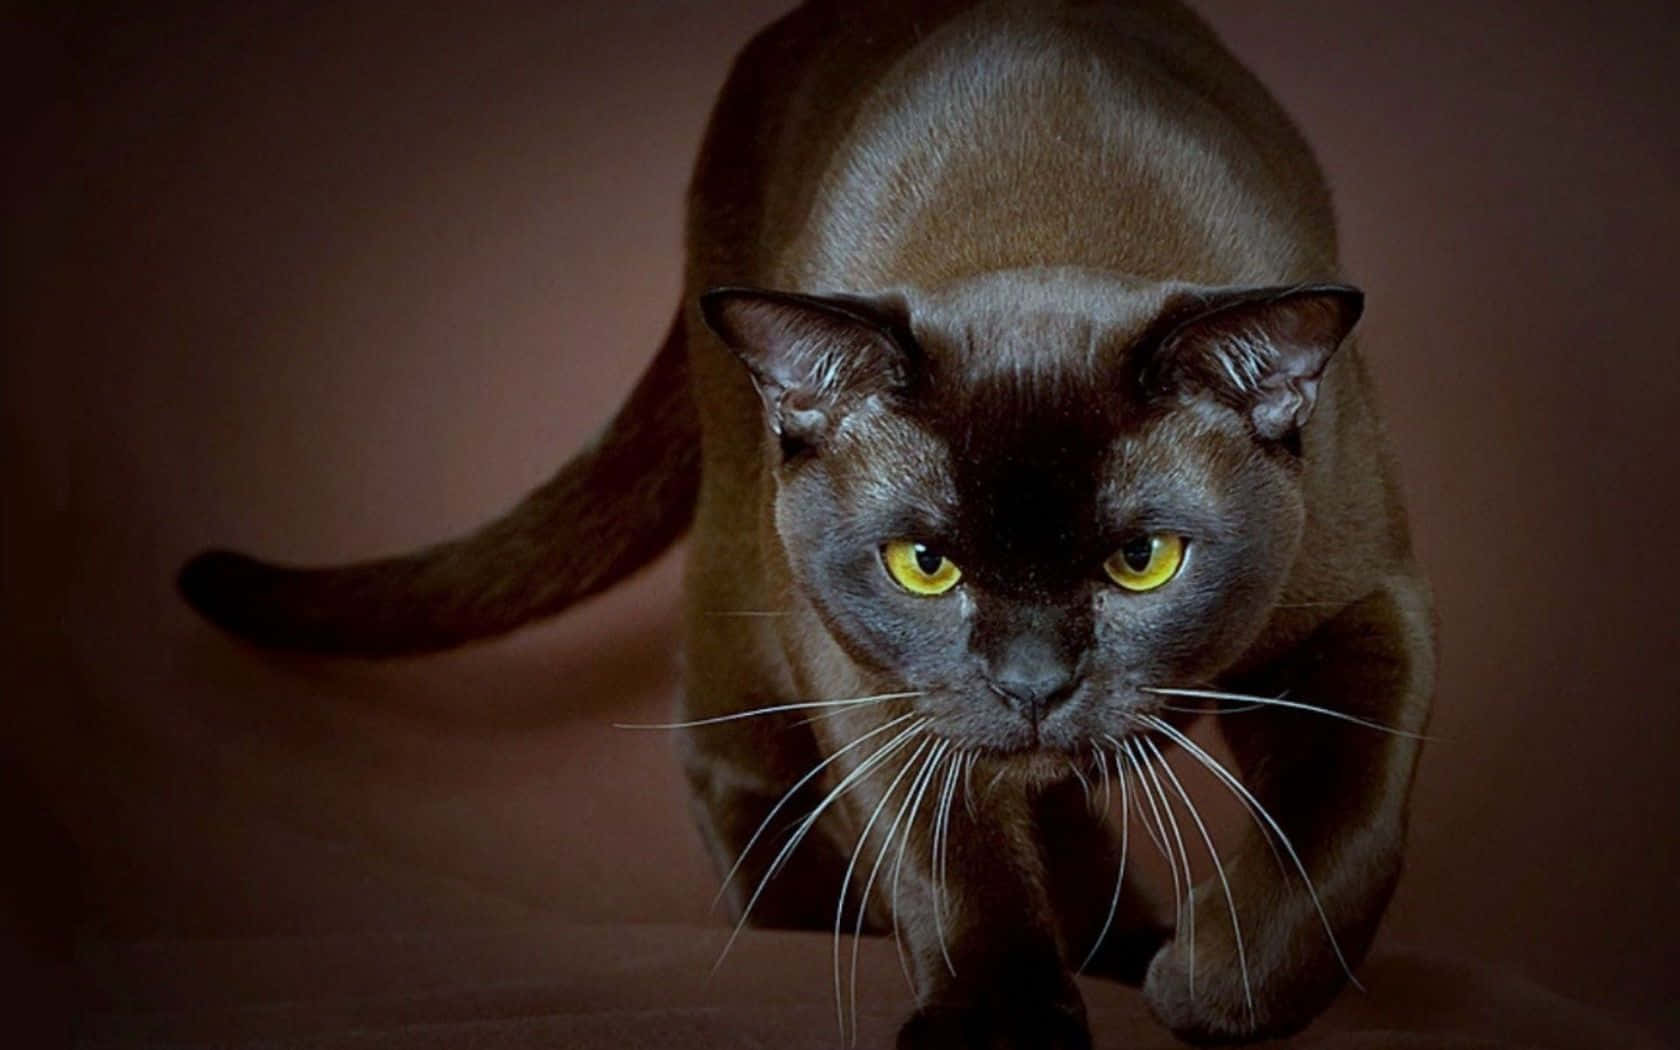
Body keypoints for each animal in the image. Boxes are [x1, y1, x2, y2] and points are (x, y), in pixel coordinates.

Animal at [180, 4, 1431, 1041]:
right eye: (924, 566)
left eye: (1143, 561)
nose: (1031, 685)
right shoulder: (867, 670)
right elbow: (947, 853)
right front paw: (1004, 1023)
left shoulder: (1368, 606)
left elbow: (1342, 843)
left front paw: (1207, 982)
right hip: (747, 542)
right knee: (729, 741)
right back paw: (834, 912)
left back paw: (1121, 940)